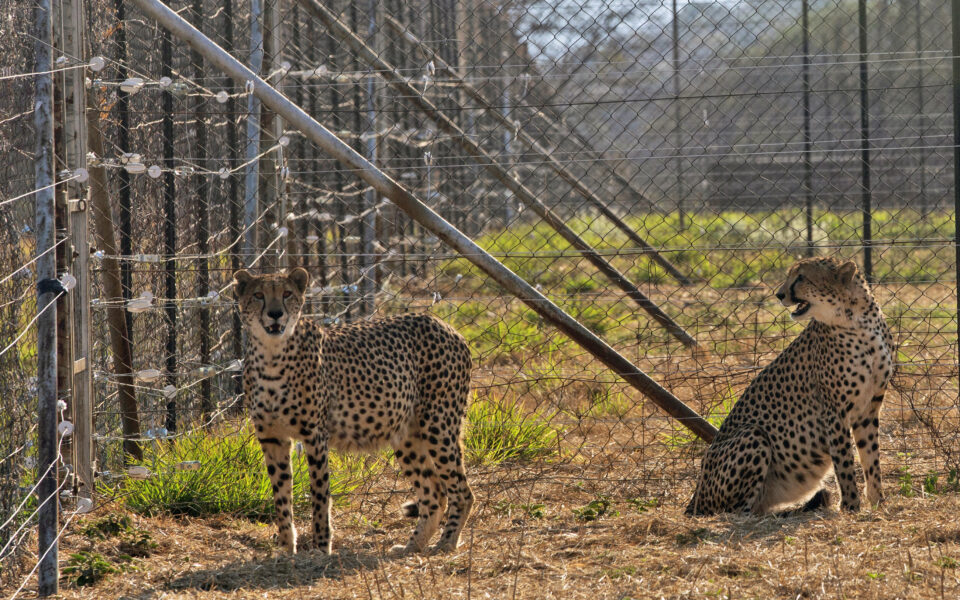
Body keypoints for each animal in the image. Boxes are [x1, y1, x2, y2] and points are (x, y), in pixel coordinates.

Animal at [232, 268, 472, 552]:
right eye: (259, 295)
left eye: (287, 293)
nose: (276, 313)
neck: (271, 354)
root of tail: (441, 323)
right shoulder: (272, 438)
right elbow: (281, 495)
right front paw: (287, 549)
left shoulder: (315, 435)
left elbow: (320, 494)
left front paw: (321, 547)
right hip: (406, 435)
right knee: (434, 491)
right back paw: (411, 547)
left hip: (438, 425)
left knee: (462, 491)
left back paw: (446, 543)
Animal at [688, 258, 896, 516]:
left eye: (801, 277)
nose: (779, 294)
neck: (859, 321)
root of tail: (694, 498)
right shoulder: (834, 411)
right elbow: (844, 462)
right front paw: (850, 506)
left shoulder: (869, 408)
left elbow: (871, 458)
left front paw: (878, 502)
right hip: (753, 434)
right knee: (737, 510)